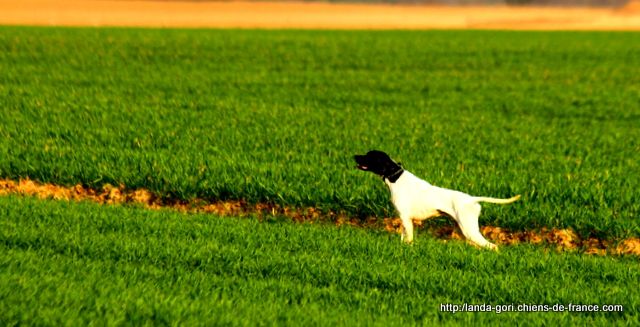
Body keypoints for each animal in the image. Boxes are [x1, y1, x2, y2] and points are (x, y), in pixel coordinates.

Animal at [356, 150, 520, 250]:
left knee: (493, 246)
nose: (354, 156)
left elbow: (409, 240)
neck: (395, 177)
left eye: (369, 155)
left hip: (469, 230)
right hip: (463, 230)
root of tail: (472, 199)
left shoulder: (406, 219)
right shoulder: (404, 220)